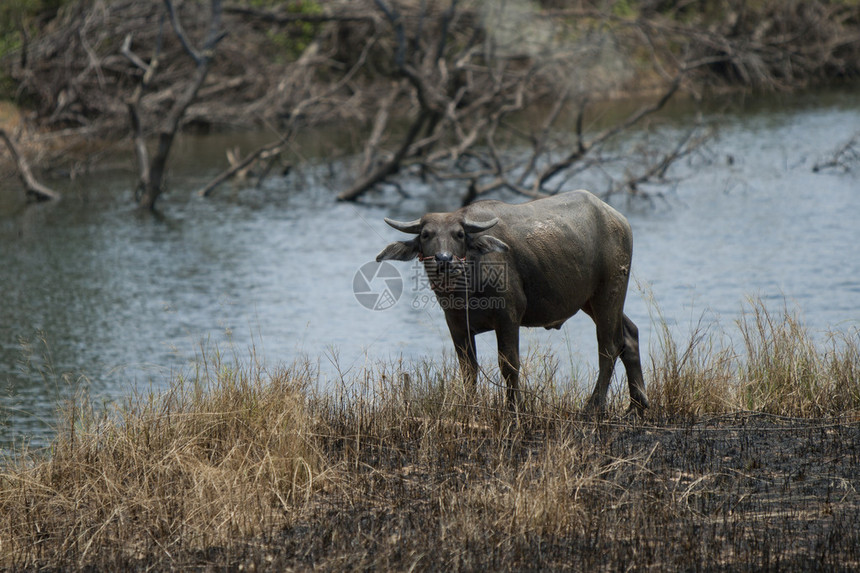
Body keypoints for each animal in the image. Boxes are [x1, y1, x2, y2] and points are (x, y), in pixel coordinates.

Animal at [380, 190, 648, 414]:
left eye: (459, 234)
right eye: (426, 234)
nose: (444, 259)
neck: (467, 290)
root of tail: (618, 219)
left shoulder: (508, 318)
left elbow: (509, 364)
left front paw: (513, 407)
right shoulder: (456, 325)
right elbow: (468, 369)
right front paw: (470, 406)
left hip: (609, 292)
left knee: (609, 346)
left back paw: (594, 406)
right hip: (590, 300)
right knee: (629, 334)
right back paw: (637, 403)